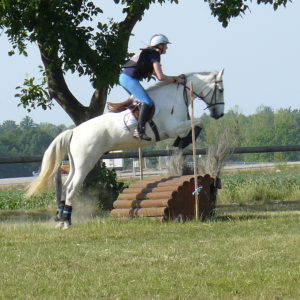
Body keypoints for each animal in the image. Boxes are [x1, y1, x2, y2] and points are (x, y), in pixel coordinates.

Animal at [25, 71, 224, 230]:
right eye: (221, 90)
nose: (219, 114)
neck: (174, 97)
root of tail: (74, 131)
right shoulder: (173, 127)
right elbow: (198, 122)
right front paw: (184, 140)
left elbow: (198, 122)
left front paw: (184, 140)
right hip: (85, 162)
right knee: (72, 186)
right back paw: (66, 221)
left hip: (76, 163)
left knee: (66, 186)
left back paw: (61, 218)